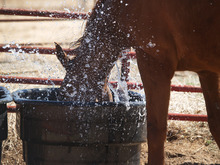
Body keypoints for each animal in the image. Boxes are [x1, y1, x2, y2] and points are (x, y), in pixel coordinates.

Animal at [55, 0, 220, 164]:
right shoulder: (206, 72)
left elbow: (156, 131)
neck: (125, 8)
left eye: (65, 96)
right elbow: (215, 123)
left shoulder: (153, 64)